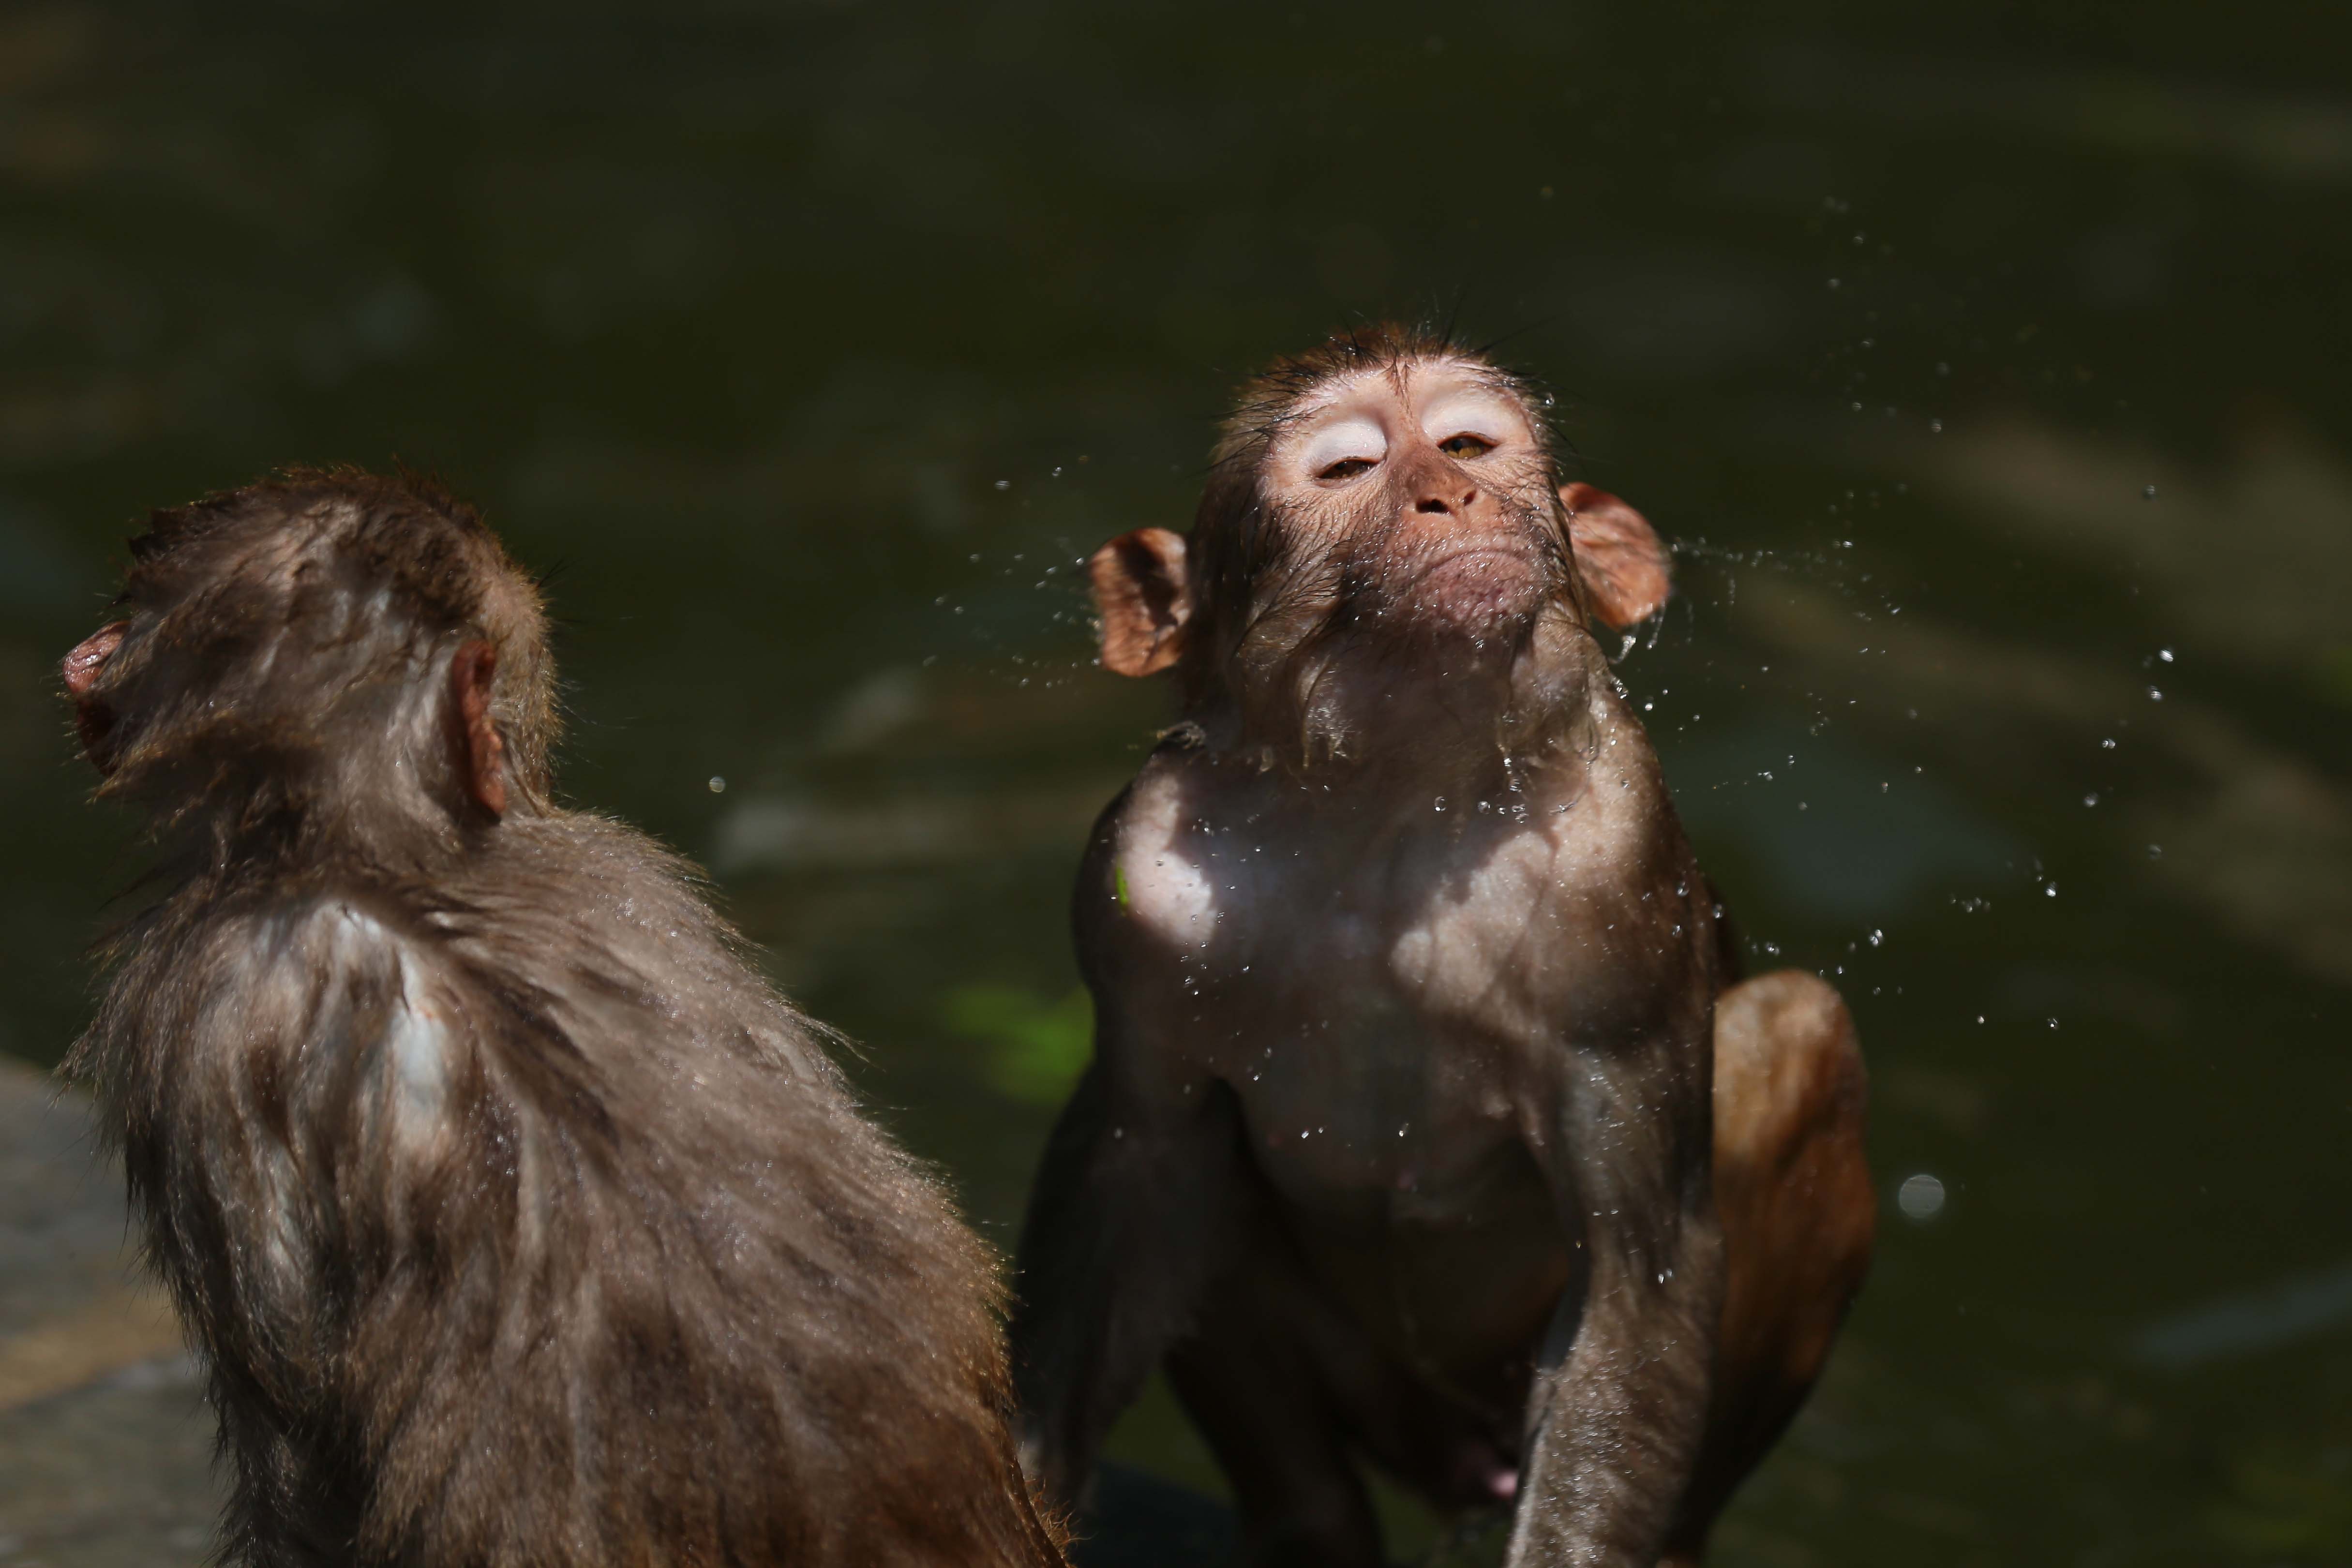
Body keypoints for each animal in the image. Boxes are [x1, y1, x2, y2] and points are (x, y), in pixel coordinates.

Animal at [1007, 326, 1873, 1567]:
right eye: (1347, 468)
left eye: (1466, 446)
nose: (1445, 494)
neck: (1393, 807)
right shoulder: (1133, 884)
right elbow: (1142, 1167)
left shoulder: (1620, 868)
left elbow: (1637, 1266)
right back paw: (1307, 1526)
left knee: (1796, 1028)